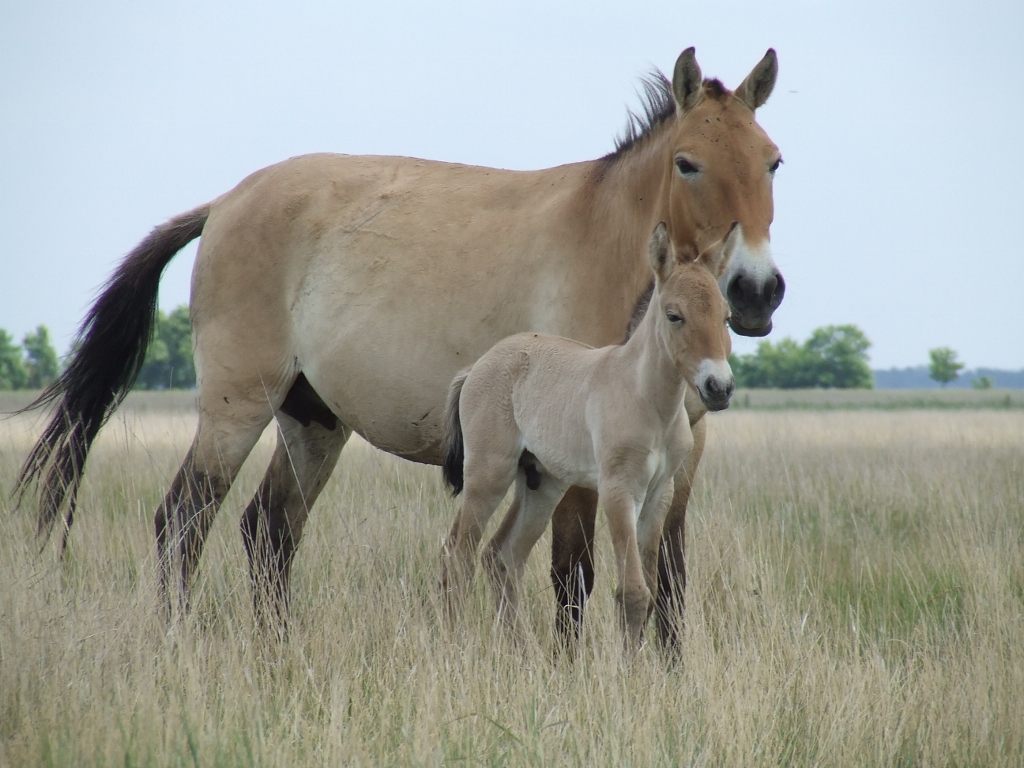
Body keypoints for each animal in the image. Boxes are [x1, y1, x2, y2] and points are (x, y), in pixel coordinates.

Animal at [440, 222, 737, 651]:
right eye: (674, 315)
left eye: (726, 316)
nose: (719, 387)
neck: (649, 401)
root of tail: (477, 366)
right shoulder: (618, 491)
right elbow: (633, 593)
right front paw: (629, 668)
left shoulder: (658, 495)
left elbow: (649, 590)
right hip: (487, 476)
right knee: (458, 556)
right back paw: (454, 645)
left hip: (542, 484)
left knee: (502, 557)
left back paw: (519, 653)